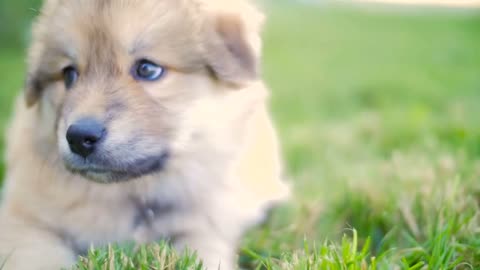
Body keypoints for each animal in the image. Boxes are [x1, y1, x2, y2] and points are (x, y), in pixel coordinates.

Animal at [0, 0, 288, 270]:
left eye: (148, 69)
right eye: (69, 74)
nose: (79, 138)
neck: (132, 192)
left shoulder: (205, 223)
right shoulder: (23, 219)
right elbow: (37, 255)